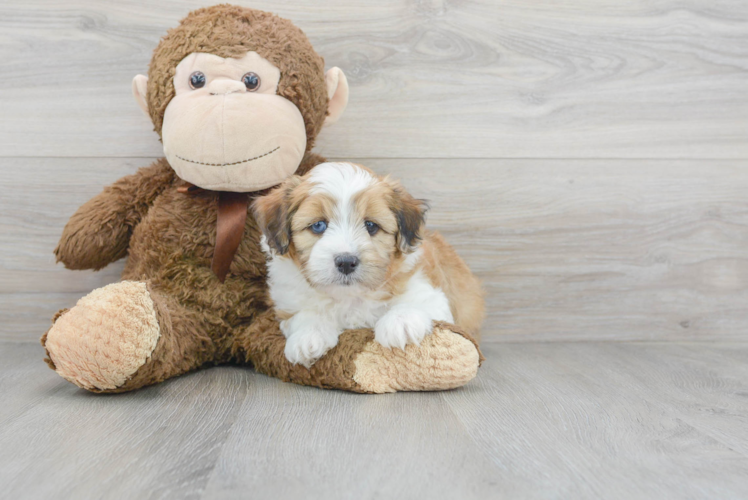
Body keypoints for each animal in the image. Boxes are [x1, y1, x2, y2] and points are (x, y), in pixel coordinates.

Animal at [251, 161, 486, 368]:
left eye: (371, 226)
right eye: (318, 226)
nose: (346, 262)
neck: (351, 297)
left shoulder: (432, 293)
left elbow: (418, 302)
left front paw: (401, 322)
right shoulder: (287, 305)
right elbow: (303, 315)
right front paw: (308, 336)